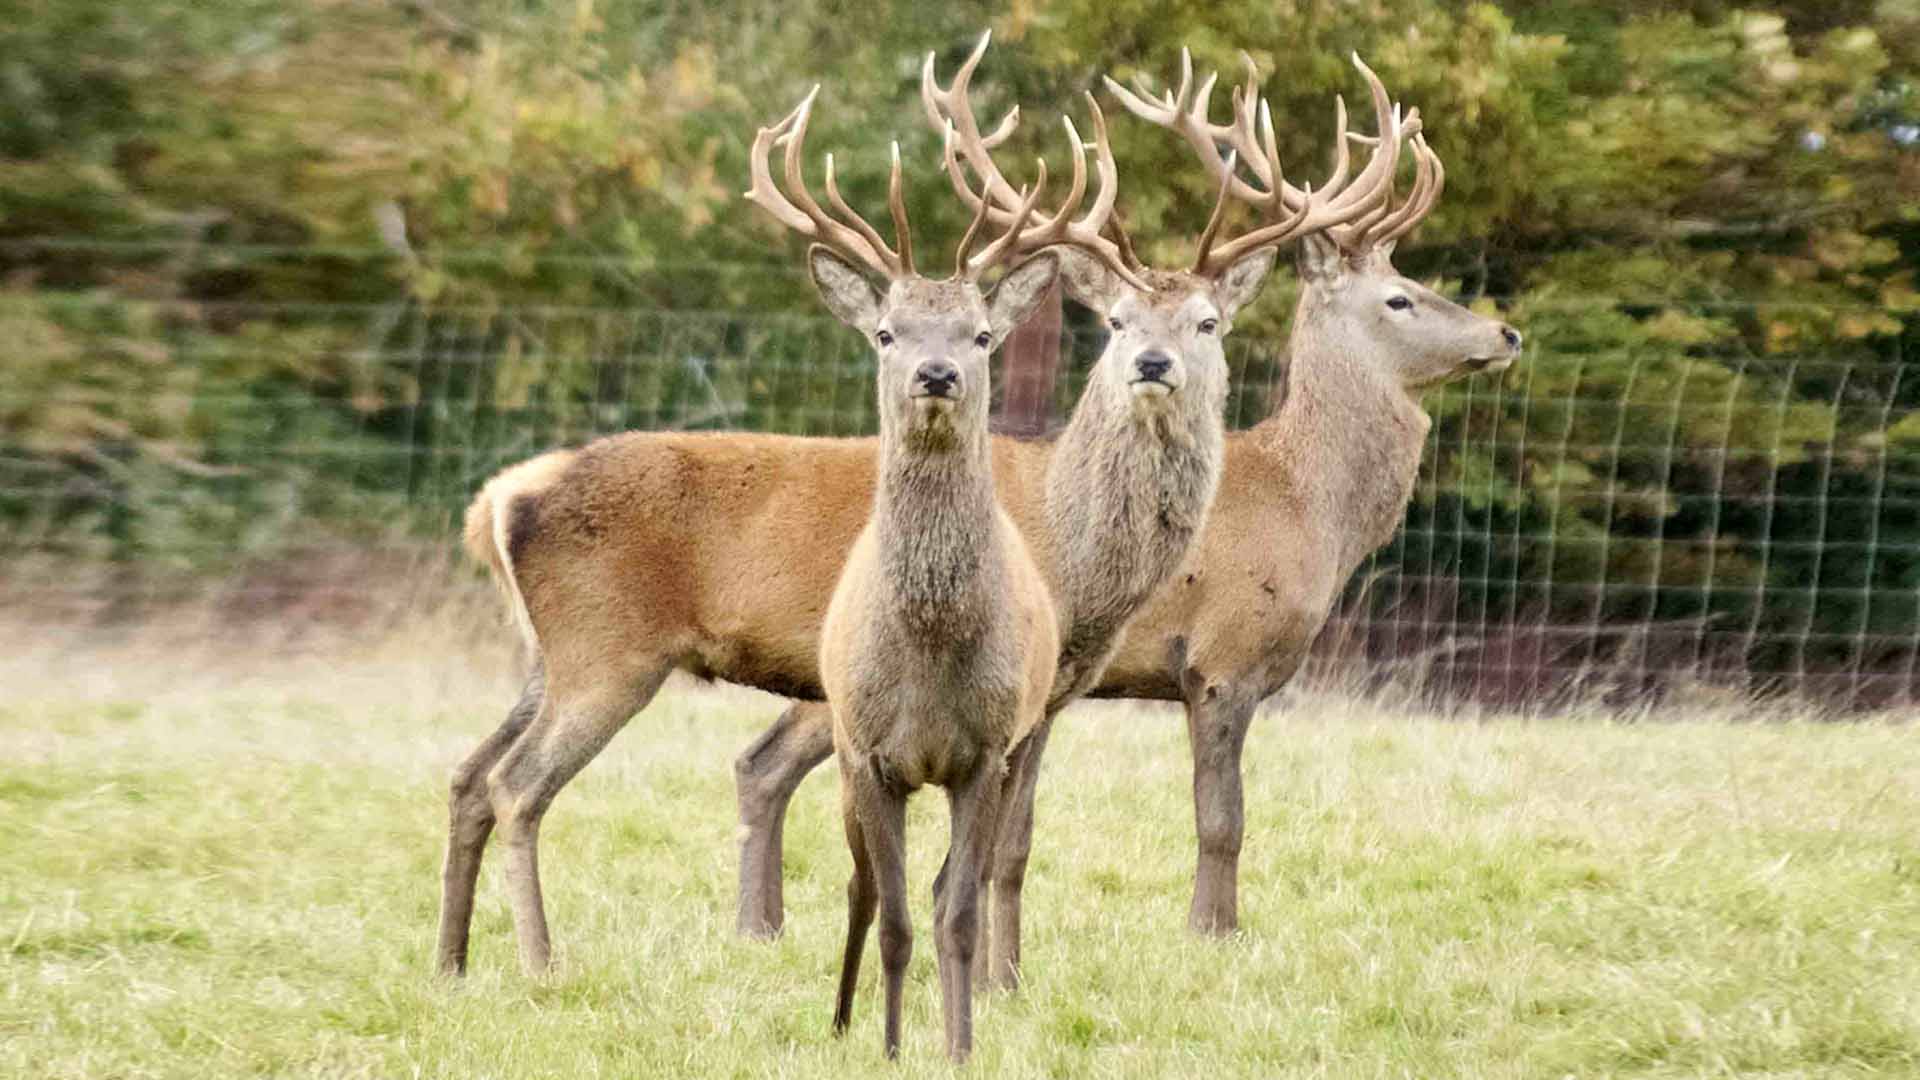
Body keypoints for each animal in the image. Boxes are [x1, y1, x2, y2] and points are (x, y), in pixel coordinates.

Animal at [725, 50, 1520, 941]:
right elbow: (1220, 819)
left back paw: (765, 926)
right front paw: (1212, 934)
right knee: (769, 762)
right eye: (1400, 297)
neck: (1308, 508)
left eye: (1209, 321)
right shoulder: (1221, 658)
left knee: (763, 764)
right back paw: (762, 924)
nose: (1504, 333)